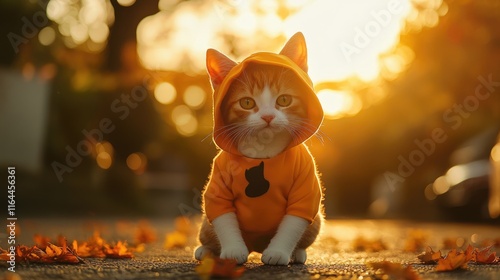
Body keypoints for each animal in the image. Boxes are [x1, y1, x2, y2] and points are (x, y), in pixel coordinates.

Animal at [193, 32, 322, 264]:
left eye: (284, 99)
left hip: (316, 221)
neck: (264, 149)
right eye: (246, 103)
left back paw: (298, 253)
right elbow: (223, 217)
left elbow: (294, 221)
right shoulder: (219, 178)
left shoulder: (305, 178)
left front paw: (279, 252)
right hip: (206, 223)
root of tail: (256, 247)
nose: (268, 116)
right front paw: (233, 250)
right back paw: (206, 251)